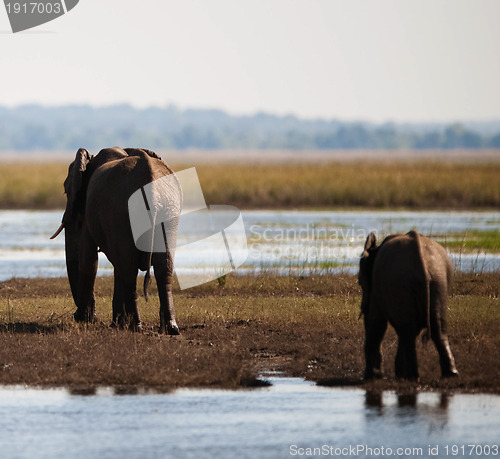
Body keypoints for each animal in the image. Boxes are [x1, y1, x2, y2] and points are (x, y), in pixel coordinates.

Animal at [48, 147, 181, 334]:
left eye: (66, 191)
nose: (80, 316)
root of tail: (151, 184)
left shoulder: (90, 209)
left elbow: (88, 261)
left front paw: (87, 320)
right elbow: (115, 265)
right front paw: (116, 323)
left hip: (124, 210)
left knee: (129, 269)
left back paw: (136, 326)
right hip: (168, 210)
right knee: (162, 267)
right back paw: (170, 328)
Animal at [358, 230, 458, 380]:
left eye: (360, 282)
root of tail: (422, 259)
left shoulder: (376, 289)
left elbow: (377, 323)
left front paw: (371, 376)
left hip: (402, 282)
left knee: (408, 331)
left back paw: (412, 376)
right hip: (438, 281)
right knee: (435, 328)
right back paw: (450, 374)